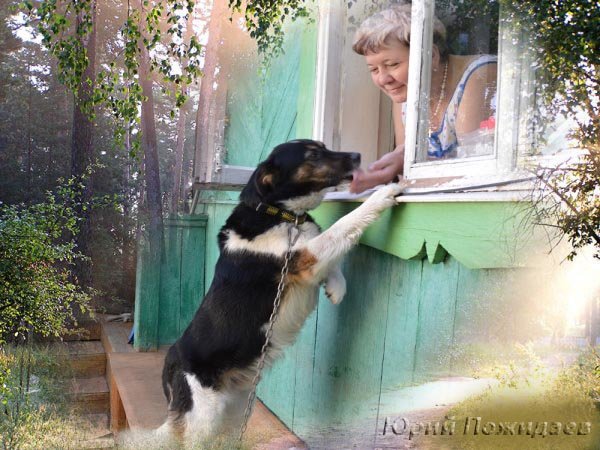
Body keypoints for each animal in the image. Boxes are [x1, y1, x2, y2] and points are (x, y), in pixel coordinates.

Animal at [159, 140, 404, 442]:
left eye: (324, 146)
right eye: (312, 154)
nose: (357, 155)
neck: (281, 215)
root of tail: (169, 366)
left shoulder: (308, 256)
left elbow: (331, 253)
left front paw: (337, 287)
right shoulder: (307, 257)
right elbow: (342, 226)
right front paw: (383, 193)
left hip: (232, 413)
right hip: (202, 419)